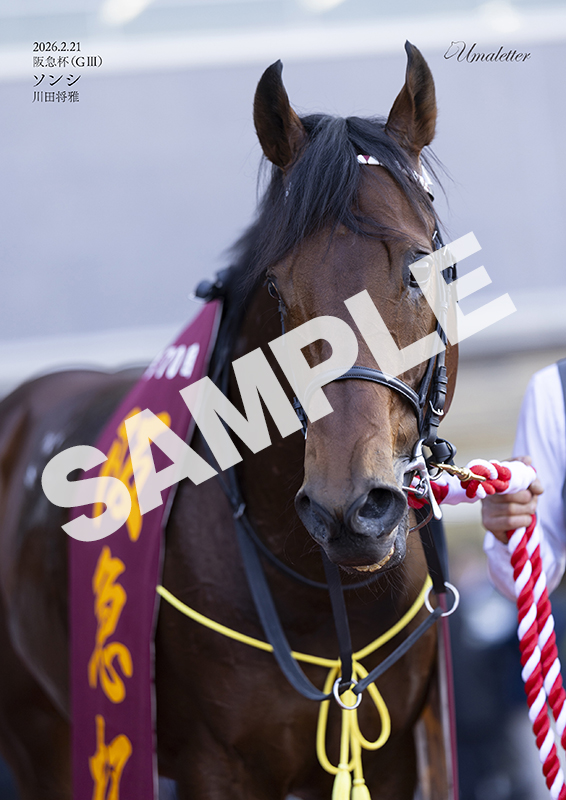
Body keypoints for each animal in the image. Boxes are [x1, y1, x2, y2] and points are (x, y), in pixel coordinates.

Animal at [0, 42, 458, 799]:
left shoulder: (389, 756)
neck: (316, 599)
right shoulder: (215, 766)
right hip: (42, 734)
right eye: (276, 285)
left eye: (424, 268)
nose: (350, 508)